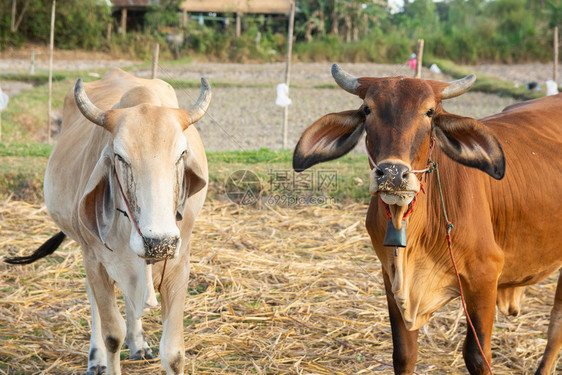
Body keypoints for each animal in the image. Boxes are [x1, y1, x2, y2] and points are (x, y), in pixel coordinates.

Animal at [5, 69, 211, 374]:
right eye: (120, 157)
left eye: (181, 154)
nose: (158, 242)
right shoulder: (96, 260)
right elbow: (112, 333)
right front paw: (107, 355)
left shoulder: (178, 262)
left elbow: (173, 352)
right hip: (88, 253)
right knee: (94, 302)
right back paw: (96, 359)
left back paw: (139, 345)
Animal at [290, 64, 560, 374]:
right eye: (368, 109)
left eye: (429, 111)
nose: (393, 174)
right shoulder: (391, 277)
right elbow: (404, 354)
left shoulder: (484, 277)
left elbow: (478, 355)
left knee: (555, 326)